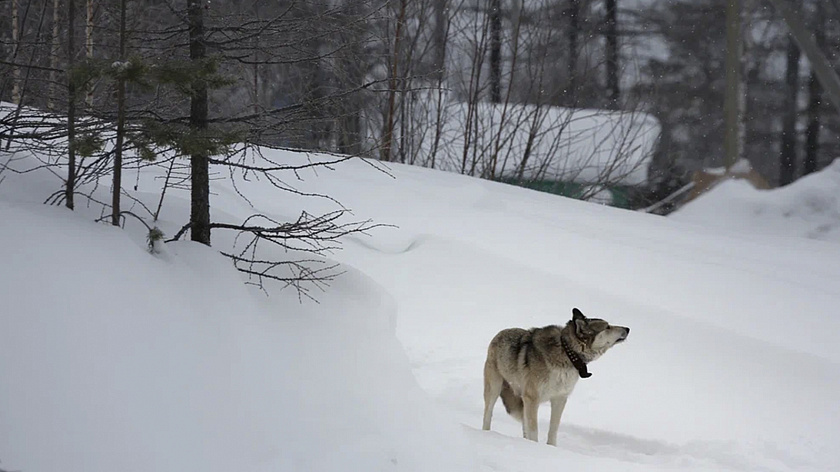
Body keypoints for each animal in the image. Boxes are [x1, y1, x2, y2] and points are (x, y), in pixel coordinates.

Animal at [482, 308, 628, 444]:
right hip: (495, 389)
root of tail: (499, 333)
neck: (567, 353)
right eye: (607, 327)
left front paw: (551, 447)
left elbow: (553, 429)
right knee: (487, 415)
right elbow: (534, 430)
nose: (628, 328)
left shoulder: (560, 398)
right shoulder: (532, 399)